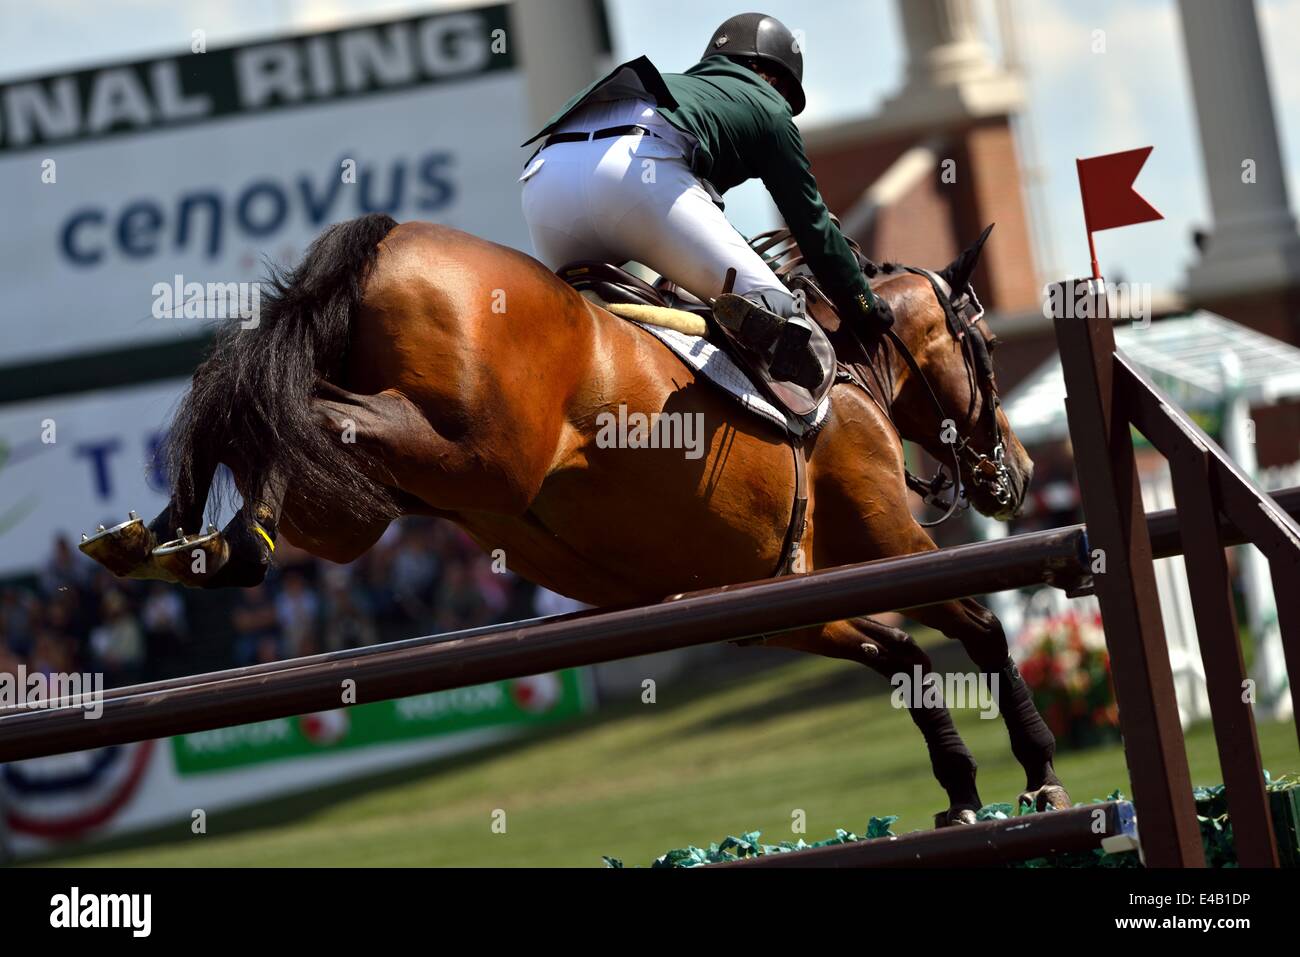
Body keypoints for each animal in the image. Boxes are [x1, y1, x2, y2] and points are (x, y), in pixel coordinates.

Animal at [86, 213, 1071, 826]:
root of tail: (386, 241)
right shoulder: (891, 544)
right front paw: (1040, 775)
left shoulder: (777, 607)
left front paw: (962, 788)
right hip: (472, 454)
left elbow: (903, 655)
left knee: (269, 422)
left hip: (366, 511)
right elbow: (980, 630)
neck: (853, 371)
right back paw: (195, 537)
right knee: (292, 407)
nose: (1016, 476)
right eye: (985, 344)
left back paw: (186, 544)